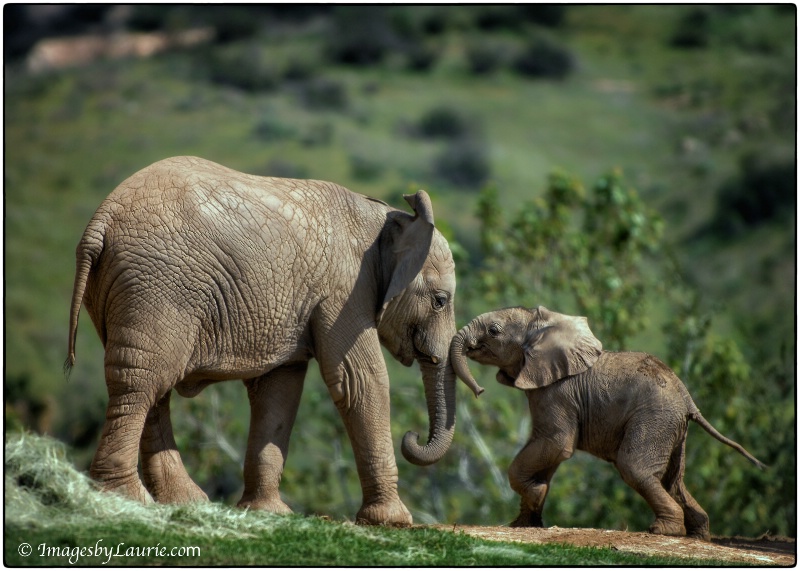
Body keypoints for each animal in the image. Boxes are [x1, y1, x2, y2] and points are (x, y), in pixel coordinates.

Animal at [66, 154, 466, 524]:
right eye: (440, 300)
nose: (412, 436)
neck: (386, 218)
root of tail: (101, 221)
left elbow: (279, 390)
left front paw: (268, 513)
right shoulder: (344, 291)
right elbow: (359, 382)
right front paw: (393, 522)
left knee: (150, 383)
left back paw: (183, 502)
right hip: (158, 286)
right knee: (140, 380)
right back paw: (125, 498)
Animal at [454, 306, 764, 540]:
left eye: (494, 330)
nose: (480, 391)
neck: (543, 327)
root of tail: (688, 400)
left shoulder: (557, 392)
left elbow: (557, 444)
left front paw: (535, 493)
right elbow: (548, 452)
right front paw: (525, 520)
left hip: (655, 419)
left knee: (635, 468)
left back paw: (663, 530)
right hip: (673, 428)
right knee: (674, 481)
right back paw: (698, 535)